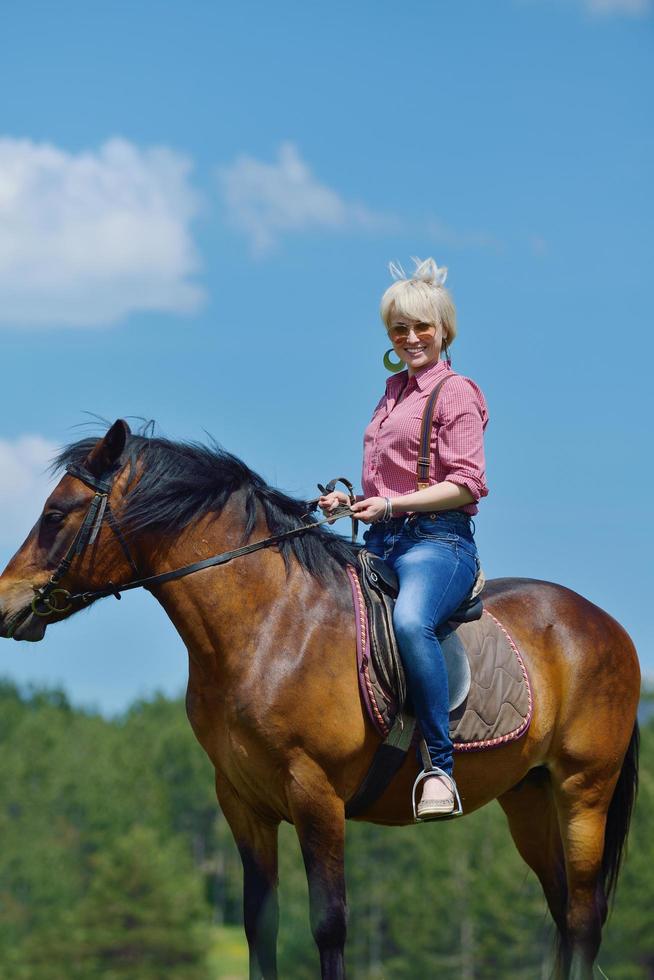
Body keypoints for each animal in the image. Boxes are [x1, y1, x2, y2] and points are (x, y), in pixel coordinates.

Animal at [0, 418, 644, 976]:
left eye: (55, 514)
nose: (6, 604)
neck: (269, 625)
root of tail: (606, 625)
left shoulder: (316, 794)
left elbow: (328, 926)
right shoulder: (242, 801)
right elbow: (259, 925)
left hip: (582, 790)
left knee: (583, 918)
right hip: (528, 796)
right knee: (562, 912)